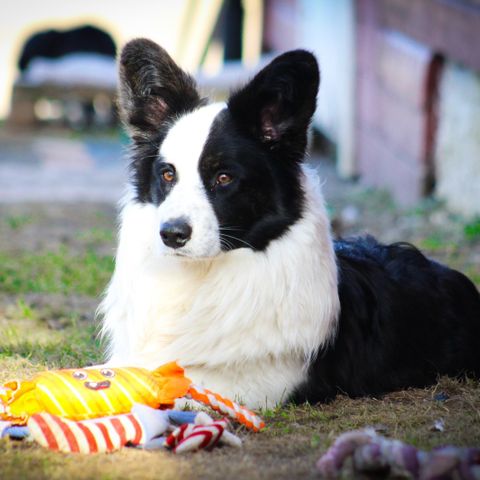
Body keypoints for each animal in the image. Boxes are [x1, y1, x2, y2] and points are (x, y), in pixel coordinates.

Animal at [99, 38, 478, 408]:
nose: (171, 235)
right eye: (167, 174)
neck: (202, 278)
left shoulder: (263, 381)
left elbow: (177, 381)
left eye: (224, 177)